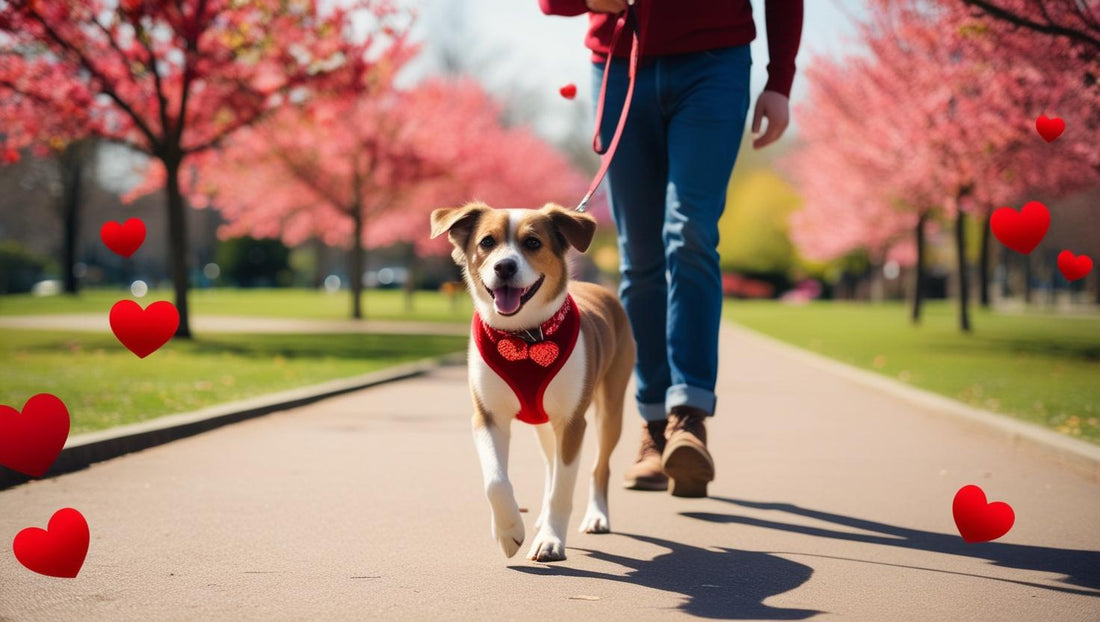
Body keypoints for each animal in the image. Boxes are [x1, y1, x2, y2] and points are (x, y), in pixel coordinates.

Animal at [429, 201, 638, 559]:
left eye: (532, 243)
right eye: (487, 242)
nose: (504, 266)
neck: (523, 336)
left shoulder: (573, 421)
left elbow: (563, 490)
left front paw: (551, 541)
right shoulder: (487, 416)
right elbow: (495, 480)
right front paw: (509, 530)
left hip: (610, 406)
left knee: (599, 466)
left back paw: (596, 516)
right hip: (544, 422)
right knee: (551, 465)